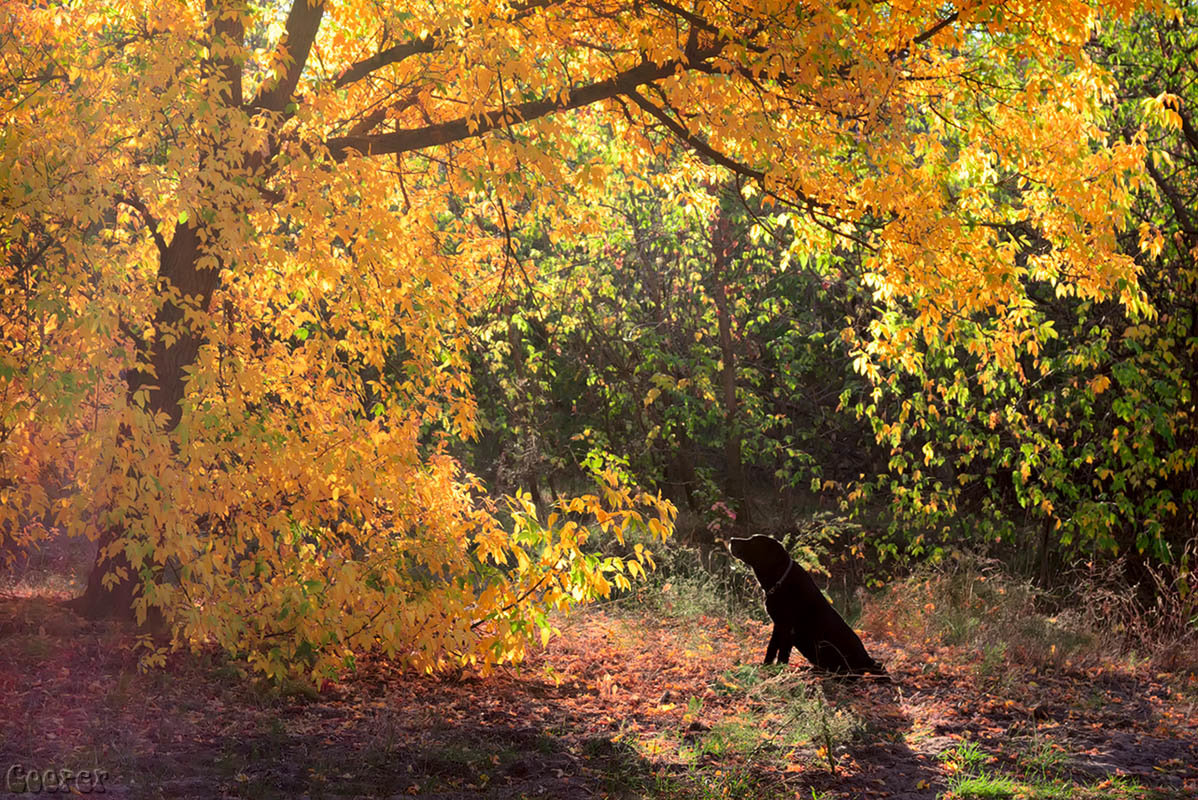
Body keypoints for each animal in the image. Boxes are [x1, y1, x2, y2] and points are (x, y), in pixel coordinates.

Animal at [723, 534, 886, 680]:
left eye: (753, 542)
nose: (731, 539)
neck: (780, 580)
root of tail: (868, 661)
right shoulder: (778, 625)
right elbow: (771, 649)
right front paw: (766, 667)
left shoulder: (788, 627)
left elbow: (782, 654)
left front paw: (779, 672)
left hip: (825, 647)